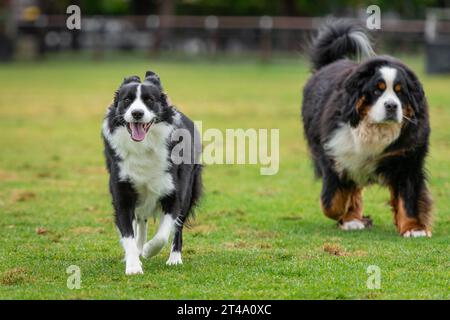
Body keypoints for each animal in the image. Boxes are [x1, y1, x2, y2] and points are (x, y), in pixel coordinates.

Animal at [103, 71, 201, 274]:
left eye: (149, 100)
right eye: (127, 100)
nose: (137, 113)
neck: (144, 147)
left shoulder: (174, 193)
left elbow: (164, 232)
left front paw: (149, 250)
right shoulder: (122, 194)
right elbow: (128, 232)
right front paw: (133, 265)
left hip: (189, 191)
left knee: (177, 228)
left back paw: (174, 258)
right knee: (141, 220)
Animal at [302, 21, 432, 238]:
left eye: (400, 92)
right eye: (377, 90)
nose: (391, 106)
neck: (374, 131)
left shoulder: (407, 157)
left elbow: (409, 196)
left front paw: (414, 228)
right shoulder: (334, 153)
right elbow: (332, 201)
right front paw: (347, 215)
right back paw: (352, 219)